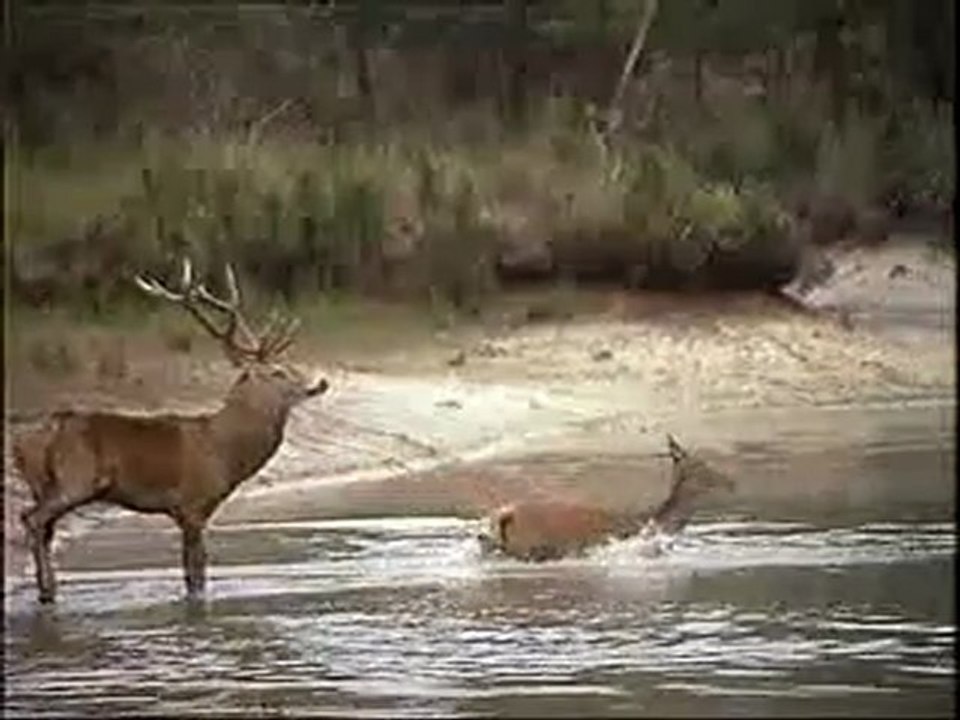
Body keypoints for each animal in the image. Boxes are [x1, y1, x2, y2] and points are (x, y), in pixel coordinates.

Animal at [12, 258, 330, 604]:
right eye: (278, 372)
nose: (320, 383)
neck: (225, 452)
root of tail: (22, 441)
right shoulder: (193, 503)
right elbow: (196, 573)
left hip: (41, 482)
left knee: (43, 527)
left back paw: (48, 591)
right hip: (75, 478)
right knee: (31, 519)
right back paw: (47, 592)